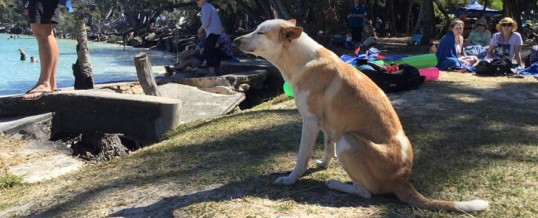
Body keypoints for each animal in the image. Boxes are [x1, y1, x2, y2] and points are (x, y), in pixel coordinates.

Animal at [232, 19, 488, 212]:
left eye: (260, 32)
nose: (234, 40)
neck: (301, 60)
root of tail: (401, 179)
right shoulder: (327, 125)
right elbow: (326, 148)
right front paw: (323, 164)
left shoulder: (310, 122)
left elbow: (301, 157)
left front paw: (291, 179)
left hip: (348, 141)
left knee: (366, 193)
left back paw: (335, 184)